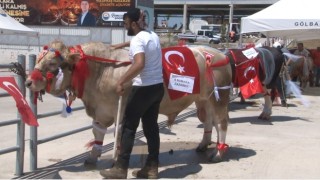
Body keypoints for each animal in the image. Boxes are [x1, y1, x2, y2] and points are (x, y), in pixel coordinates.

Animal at [24, 40, 230, 164]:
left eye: (52, 63)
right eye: (39, 59)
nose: (28, 82)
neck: (101, 70)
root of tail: (217, 53)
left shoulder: (121, 108)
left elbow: (119, 132)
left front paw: (117, 158)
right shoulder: (101, 109)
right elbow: (97, 131)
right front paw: (93, 156)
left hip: (218, 98)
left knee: (221, 123)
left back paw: (219, 153)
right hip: (204, 100)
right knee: (209, 121)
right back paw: (203, 145)